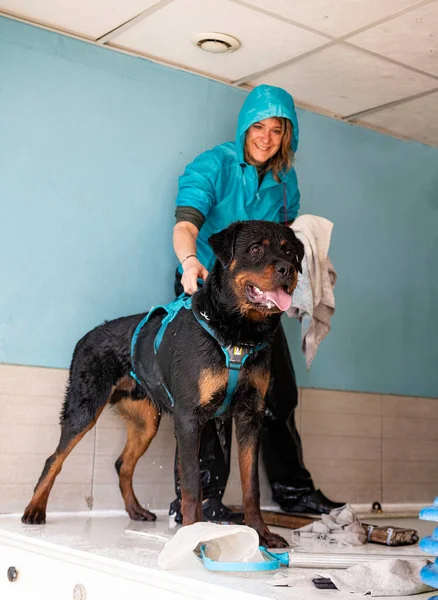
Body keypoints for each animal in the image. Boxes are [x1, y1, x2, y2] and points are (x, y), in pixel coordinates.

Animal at [22, 220, 302, 548]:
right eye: (256, 249)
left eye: (289, 251)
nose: (287, 269)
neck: (237, 334)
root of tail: (87, 336)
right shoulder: (189, 417)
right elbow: (192, 483)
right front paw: (193, 534)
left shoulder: (249, 416)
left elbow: (251, 487)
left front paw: (261, 534)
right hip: (84, 409)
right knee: (54, 458)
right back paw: (34, 509)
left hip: (146, 423)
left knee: (122, 464)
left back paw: (135, 510)